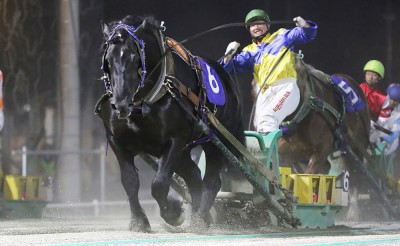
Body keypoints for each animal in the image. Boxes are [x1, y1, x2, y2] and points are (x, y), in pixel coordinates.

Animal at [95, 15, 245, 233]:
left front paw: (173, 214)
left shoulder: (176, 139)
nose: (120, 104)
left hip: (215, 140)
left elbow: (159, 183)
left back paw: (200, 218)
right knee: (194, 176)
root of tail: (225, 74)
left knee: (211, 181)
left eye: (135, 59)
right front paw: (139, 220)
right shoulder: (116, 140)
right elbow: (129, 181)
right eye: (108, 61)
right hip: (185, 150)